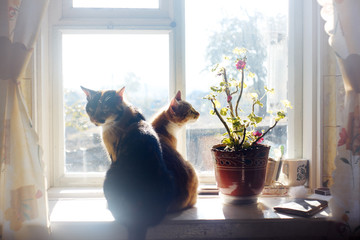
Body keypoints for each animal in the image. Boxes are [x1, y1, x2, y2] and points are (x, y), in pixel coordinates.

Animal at [81, 86, 174, 240]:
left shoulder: (113, 154)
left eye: (106, 108)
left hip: (110, 175)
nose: (94, 119)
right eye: (91, 108)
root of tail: (139, 220)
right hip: (169, 177)